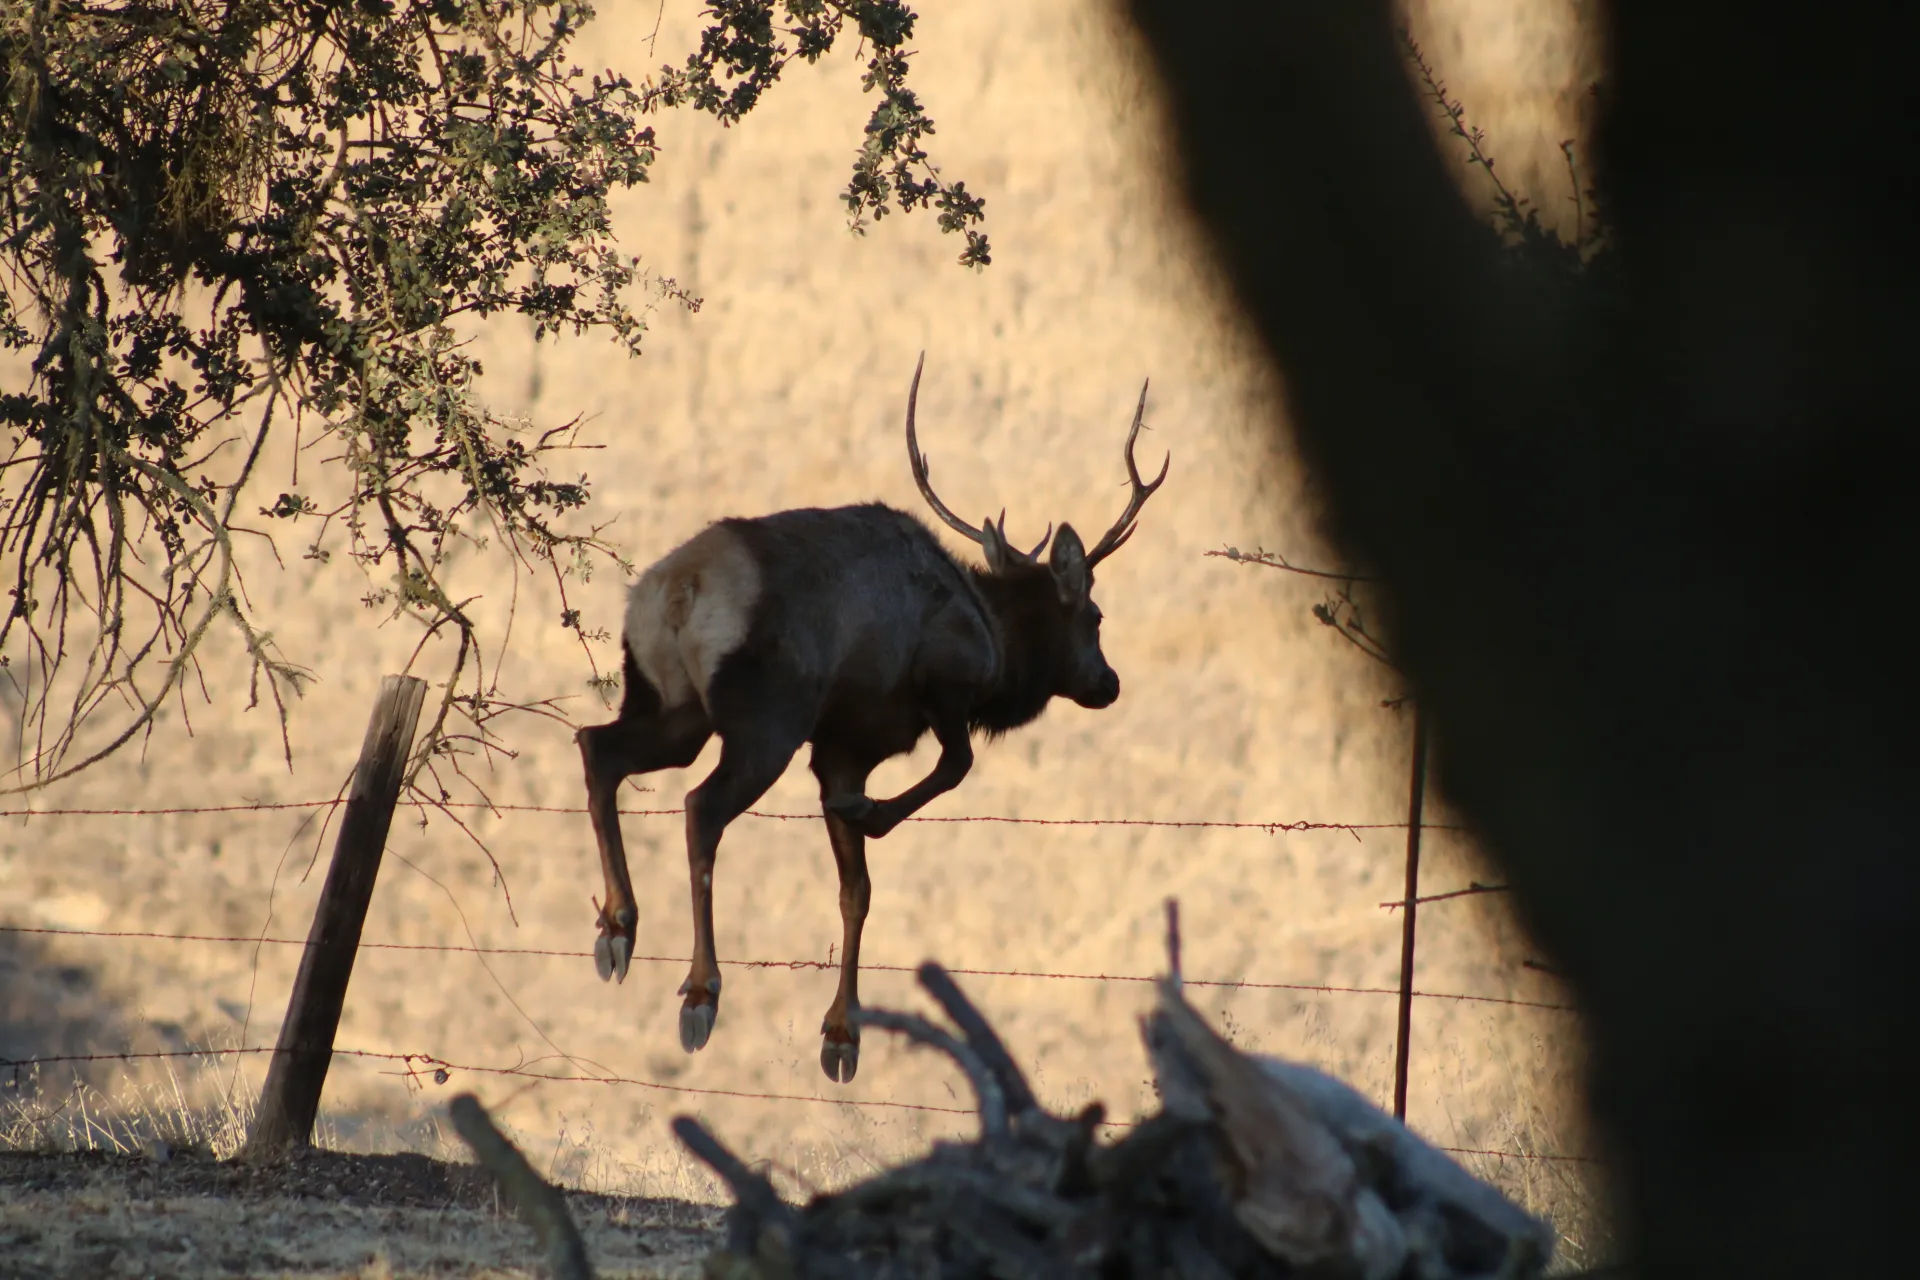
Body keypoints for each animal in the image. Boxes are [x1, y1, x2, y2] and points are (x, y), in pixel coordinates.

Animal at [574, 353, 1167, 1083]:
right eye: (1095, 616)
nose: (1108, 683)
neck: (998, 649)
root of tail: (680, 589)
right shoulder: (935, 688)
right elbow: (955, 766)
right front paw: (870, 813)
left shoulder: (839, 750)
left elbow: (856, 890)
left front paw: (842, 1034)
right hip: (767, 717)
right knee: (699, 806)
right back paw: (699, 992)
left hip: (669, 705)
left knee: (597, 746)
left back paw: (617, 928)